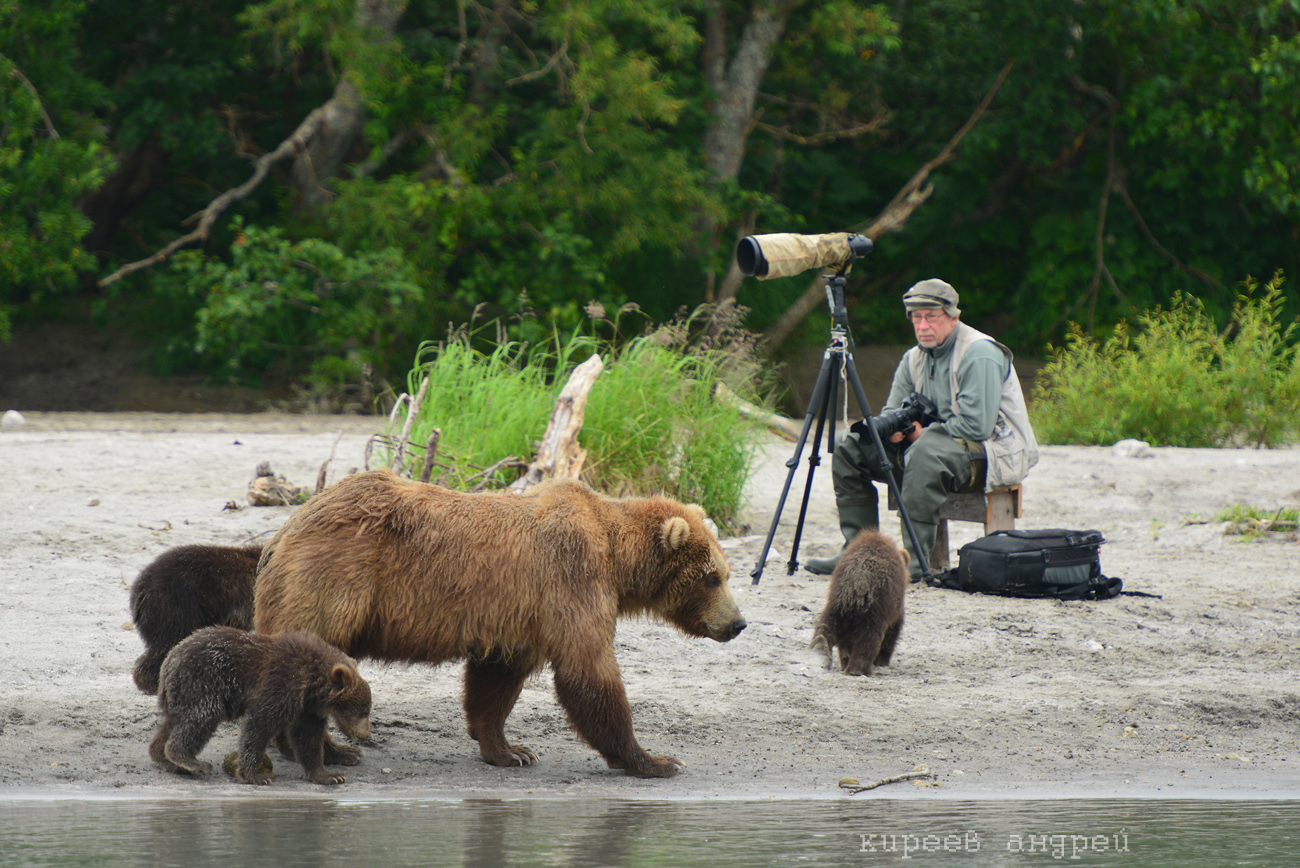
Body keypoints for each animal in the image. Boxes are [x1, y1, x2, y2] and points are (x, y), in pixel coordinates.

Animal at [148, 623, 371, 784]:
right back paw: (191, 761)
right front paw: (254, 775)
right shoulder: (281, 683)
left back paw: (167, 760)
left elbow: (308, 738)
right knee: (200, 719)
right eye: (363, 710)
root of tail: (168, 661)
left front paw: (331, 773)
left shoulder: (307, 709)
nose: (365, 735)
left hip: (181, 695)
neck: (311, 683)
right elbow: (259, 724)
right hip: (202, 682)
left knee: (173, 723)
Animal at [253, 467, 748, 779]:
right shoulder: (571, 578)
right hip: (336, 581)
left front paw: (512, 751)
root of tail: (283, 532)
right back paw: (335, 751)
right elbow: (589, 672)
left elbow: (495, 682)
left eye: (726, 573)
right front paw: (657, 761)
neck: (616, 556)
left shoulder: (518, 617)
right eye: (712, 577)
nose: (739, 622)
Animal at [806, 530, 909, 675]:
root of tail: (859, 577)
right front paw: (882, 661)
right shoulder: (895, 610)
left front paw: (844, 661)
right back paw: (858, 670)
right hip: (874, 610)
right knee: (868, 640)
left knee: (825, 627)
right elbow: (891, 634)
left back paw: (819, 652)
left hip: (838, 605)